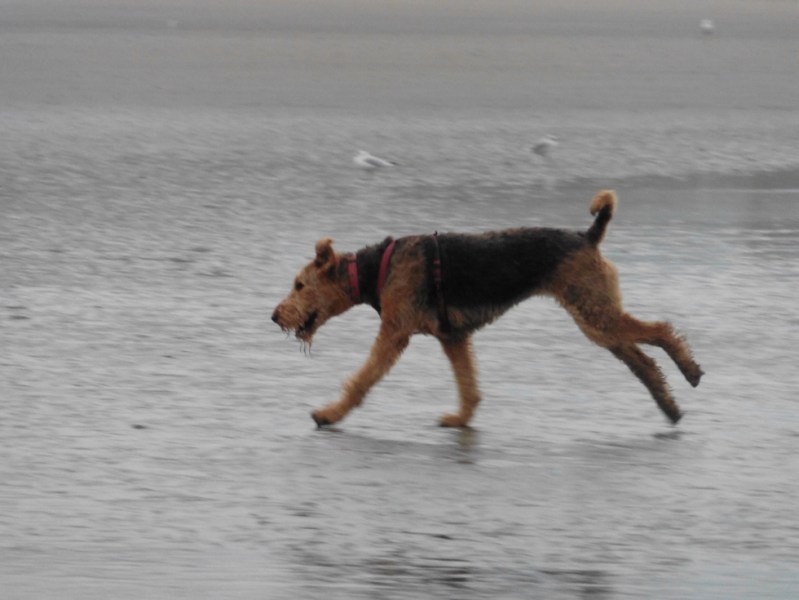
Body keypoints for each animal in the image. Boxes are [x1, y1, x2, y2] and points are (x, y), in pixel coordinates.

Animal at [272, 190, 703, 428]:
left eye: (299, 285)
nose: (275, 316)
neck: (374, 269)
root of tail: (588, 236)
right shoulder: (452, 337)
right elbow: (468, 385)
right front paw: (460, 419)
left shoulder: (394, 334)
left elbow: (361, 380)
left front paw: (329, 414)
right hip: (597, 319)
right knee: (643, 361)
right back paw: (671, 408)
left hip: (595, 314)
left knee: (661, 331)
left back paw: (691, 373)